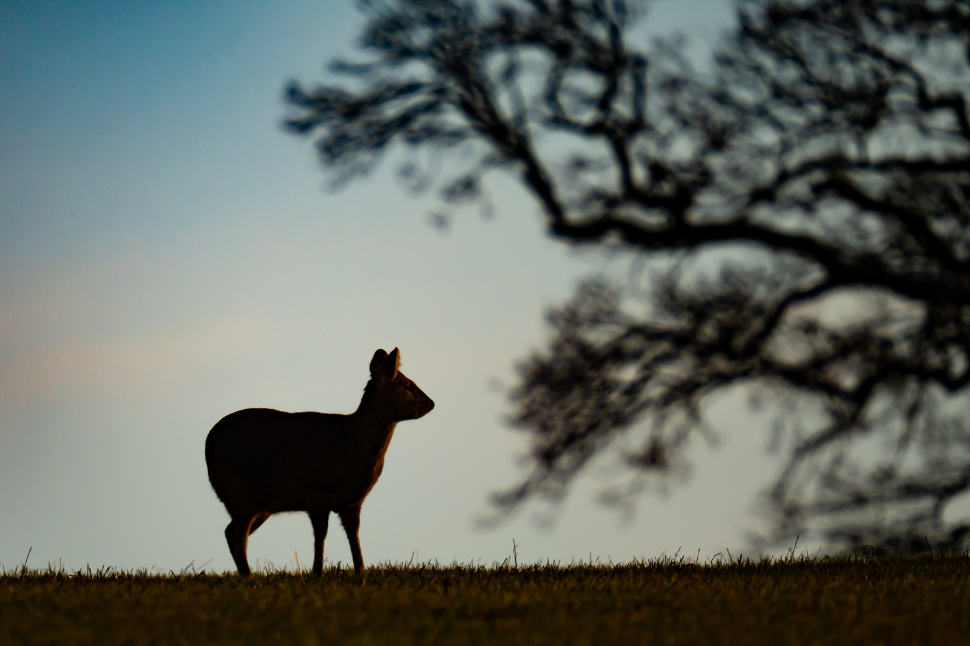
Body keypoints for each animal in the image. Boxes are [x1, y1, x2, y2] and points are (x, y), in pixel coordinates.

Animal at [205, 350, 434, 576]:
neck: (354, 452)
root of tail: (208, 444)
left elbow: (354, 536)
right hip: (240, 494)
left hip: (259, 505)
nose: (431, 403)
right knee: (238, 537)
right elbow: (320, 536)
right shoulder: (317, 495)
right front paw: (317, 573)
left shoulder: (352, 502)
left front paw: (361, 571)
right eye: (407, 385)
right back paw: (249, 576)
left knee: (229, 531)